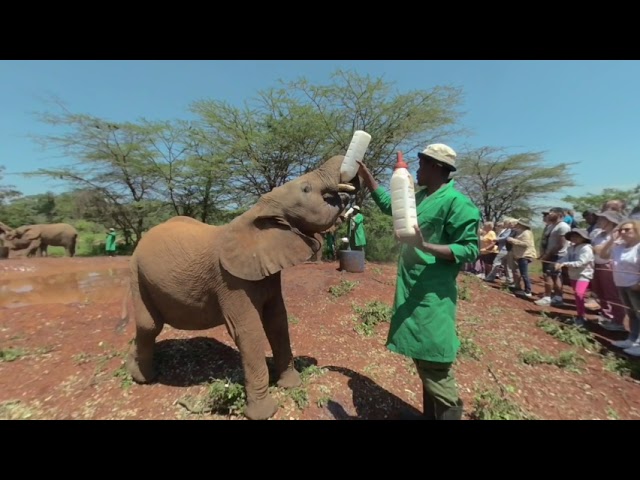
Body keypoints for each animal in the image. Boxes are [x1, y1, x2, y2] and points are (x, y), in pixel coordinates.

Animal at [120, 155, 360, 420]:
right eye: (306, 189)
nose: (349, 189)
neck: (259, 211)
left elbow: (277, 321)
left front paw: (291, 384)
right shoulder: (230, 281)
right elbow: (248, 330)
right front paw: (264, 413)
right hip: (136, 272)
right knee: (149, 325)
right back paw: (144, 378)